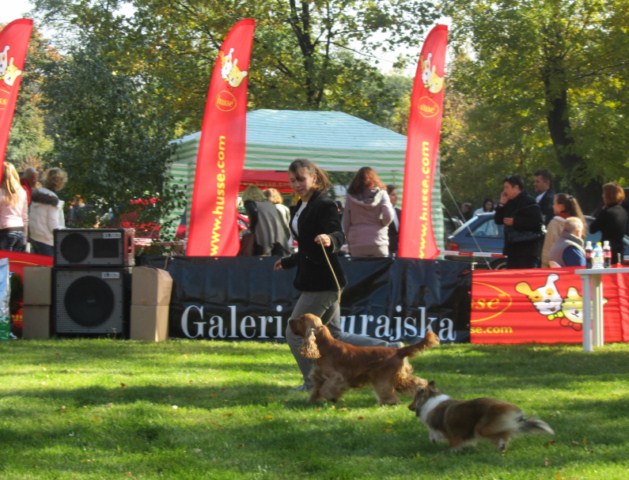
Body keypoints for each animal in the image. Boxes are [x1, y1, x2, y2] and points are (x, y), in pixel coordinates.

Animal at [288, 313, 439, 405]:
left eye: (301, 319)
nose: (289, 320)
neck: (324, 347)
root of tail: (397, 351)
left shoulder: (336, 377)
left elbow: (326, 390)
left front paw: (333, 398)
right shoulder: (319, 378)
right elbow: (316, 391)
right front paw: (311, 402)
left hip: (383, 378)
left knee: (388, 393)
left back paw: (389, 403)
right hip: (399, 377)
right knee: (417, 383)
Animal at [408, 381, 554, 452]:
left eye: (414, 398)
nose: (408, 407)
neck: (430, 398)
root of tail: (512, 409)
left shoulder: (450, 431)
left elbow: (449, 440)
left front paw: (453, 451)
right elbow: (432, 434)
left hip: (482, 428)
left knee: (501, 435)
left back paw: (500, 446)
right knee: (505, 435)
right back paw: (501, 448)